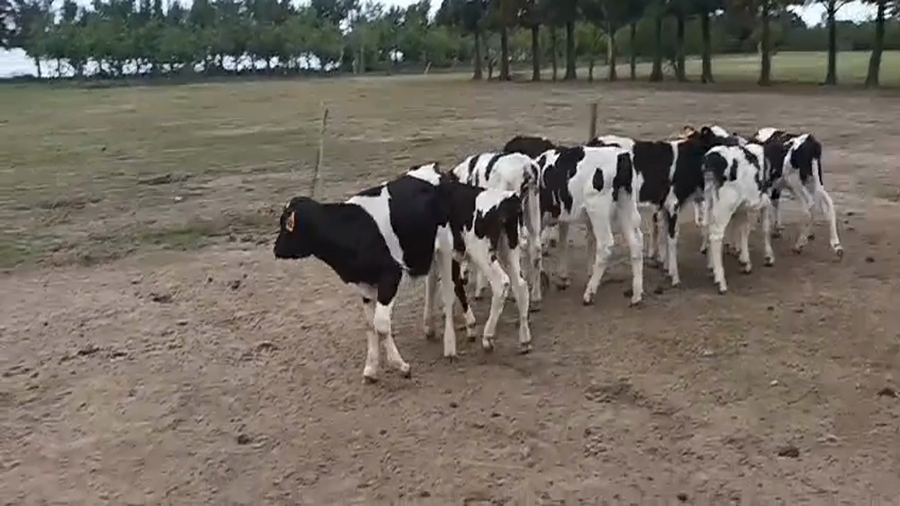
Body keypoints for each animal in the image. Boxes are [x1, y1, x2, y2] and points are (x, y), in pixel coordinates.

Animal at [273, 163, 459, 383]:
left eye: (286, 225)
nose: (275, 249)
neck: (350, 229)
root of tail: (434, 169)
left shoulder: (390, 275)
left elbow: (381, 324)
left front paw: (400, 365)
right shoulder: (365, 285)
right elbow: (370, 325)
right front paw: (371, 368)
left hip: (446, 246)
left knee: (448, 294)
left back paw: (450, 347)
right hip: (428, 251)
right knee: (431, 283)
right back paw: (429, 327)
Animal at [533, 145, 644, 306]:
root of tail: (622, 156)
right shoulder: (561, 217)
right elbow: (561, 241)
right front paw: (561, 277)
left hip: (598, 210)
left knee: (605, 245)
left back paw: (589, 293)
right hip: (625, 206)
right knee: (636, 243)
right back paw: (636, 295)